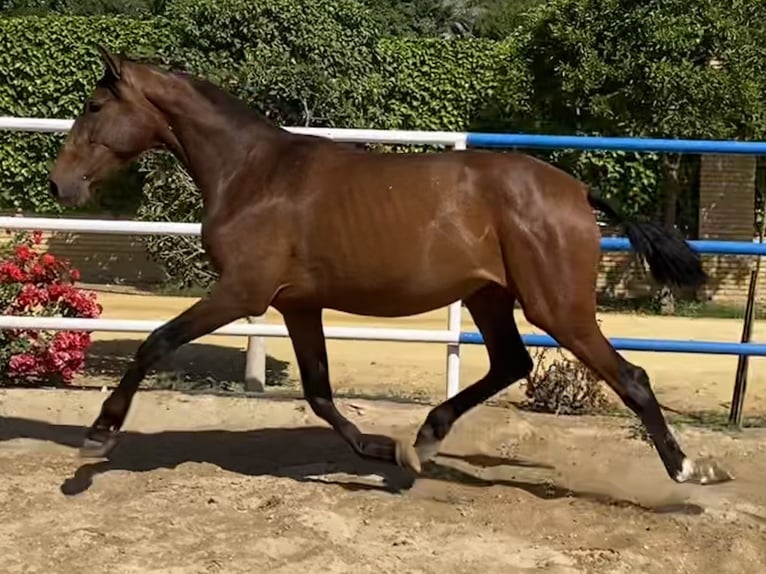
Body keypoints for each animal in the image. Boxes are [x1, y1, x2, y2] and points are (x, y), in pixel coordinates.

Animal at [48, 46, 732, 486]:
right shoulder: (296, 302)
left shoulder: (242, 293)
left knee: (631, 378)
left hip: (557, 307)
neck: (253, 173)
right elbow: (319, 391)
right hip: (488, 297)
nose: (60, 185)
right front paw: (377, 448)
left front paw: (100, 433)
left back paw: (690, 469)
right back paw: (421, 443)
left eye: (94, 106)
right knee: (512, 364)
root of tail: (577, 190)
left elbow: (156, 342)